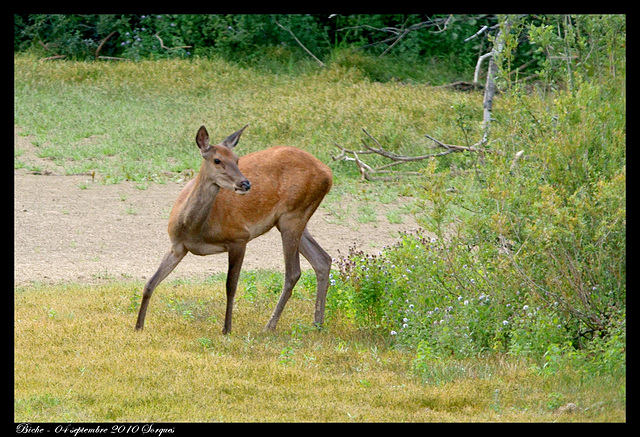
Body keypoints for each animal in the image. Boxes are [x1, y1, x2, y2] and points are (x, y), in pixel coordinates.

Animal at [136, 124, 336, 336]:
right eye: (217, 160)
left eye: (237, 159)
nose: (245, 183)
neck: (194, 229)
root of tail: (329, 174)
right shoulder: (177, 246)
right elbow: (150, 283)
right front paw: (138, 326)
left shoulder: (239, 237)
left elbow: (230, 286)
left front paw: (227, 328)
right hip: (288, 220)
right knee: (322, 259)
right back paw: (318, 323)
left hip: (294, 214)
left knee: (293, 272)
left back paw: (270, 325)